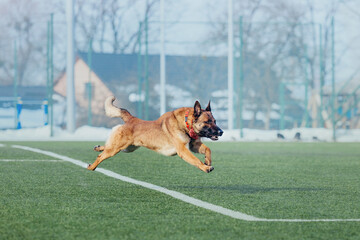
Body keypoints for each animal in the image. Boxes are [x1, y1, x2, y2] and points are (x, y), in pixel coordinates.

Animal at [87, 95, 222, 172]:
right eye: (207, 122)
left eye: (215, 121)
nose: (221, 132)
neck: (185, 123)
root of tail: (132, 119)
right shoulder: (183, 150)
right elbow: (196, 160)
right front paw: (206, 167)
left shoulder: (194, 146)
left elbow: (208, 149)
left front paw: (208, 161)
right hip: (117, 148)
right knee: (101, 156)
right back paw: (91, 167)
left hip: (128, 148)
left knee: (106, 147)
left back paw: (98, 148)